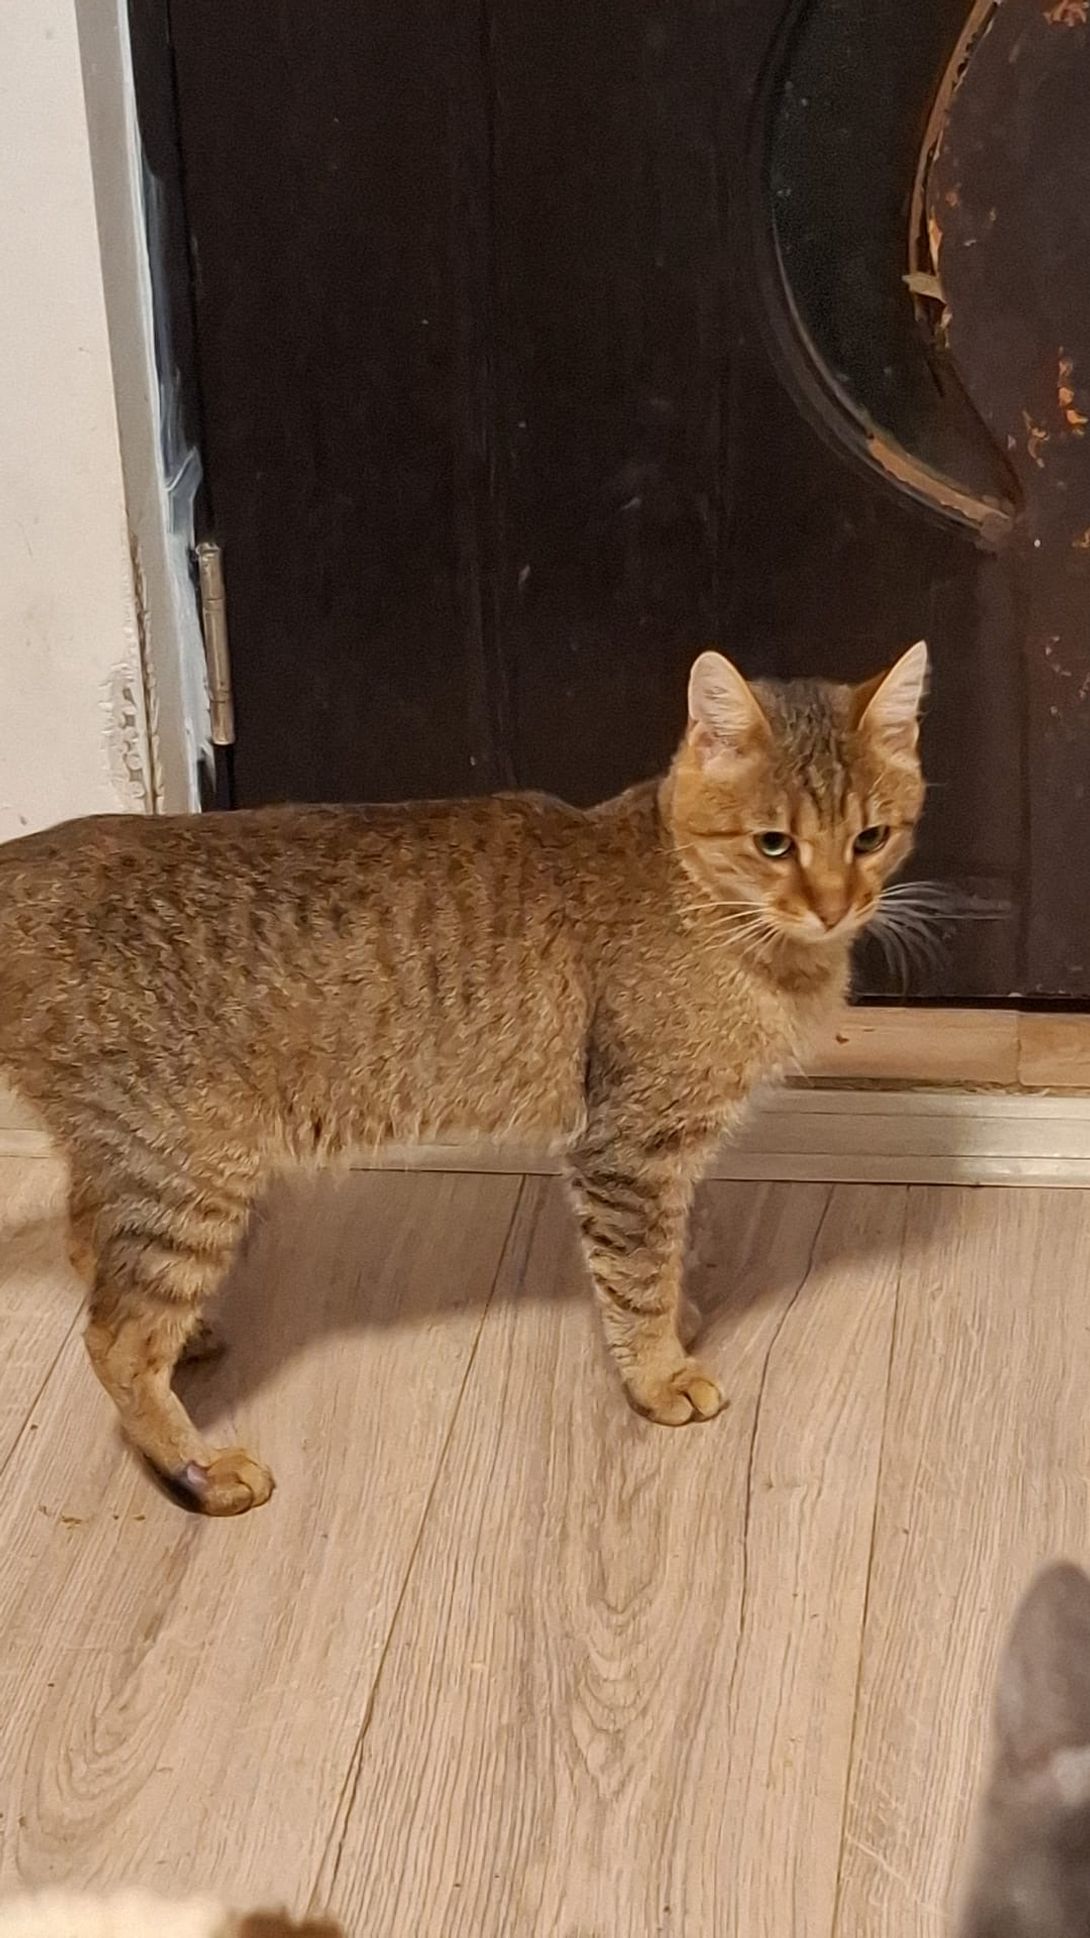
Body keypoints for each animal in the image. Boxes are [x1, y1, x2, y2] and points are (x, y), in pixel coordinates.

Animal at [0, 642, 927, 1514]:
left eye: (870, 838)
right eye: (775, 844)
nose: (836, 905)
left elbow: (660, 1263)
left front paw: (676, 1324)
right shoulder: (629, 1152)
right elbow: (639, 1274)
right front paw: (661, 1373)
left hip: (140, 1164)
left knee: (91, 1251)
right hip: (188, 1175)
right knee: (115, 1339)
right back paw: (197, 1467)